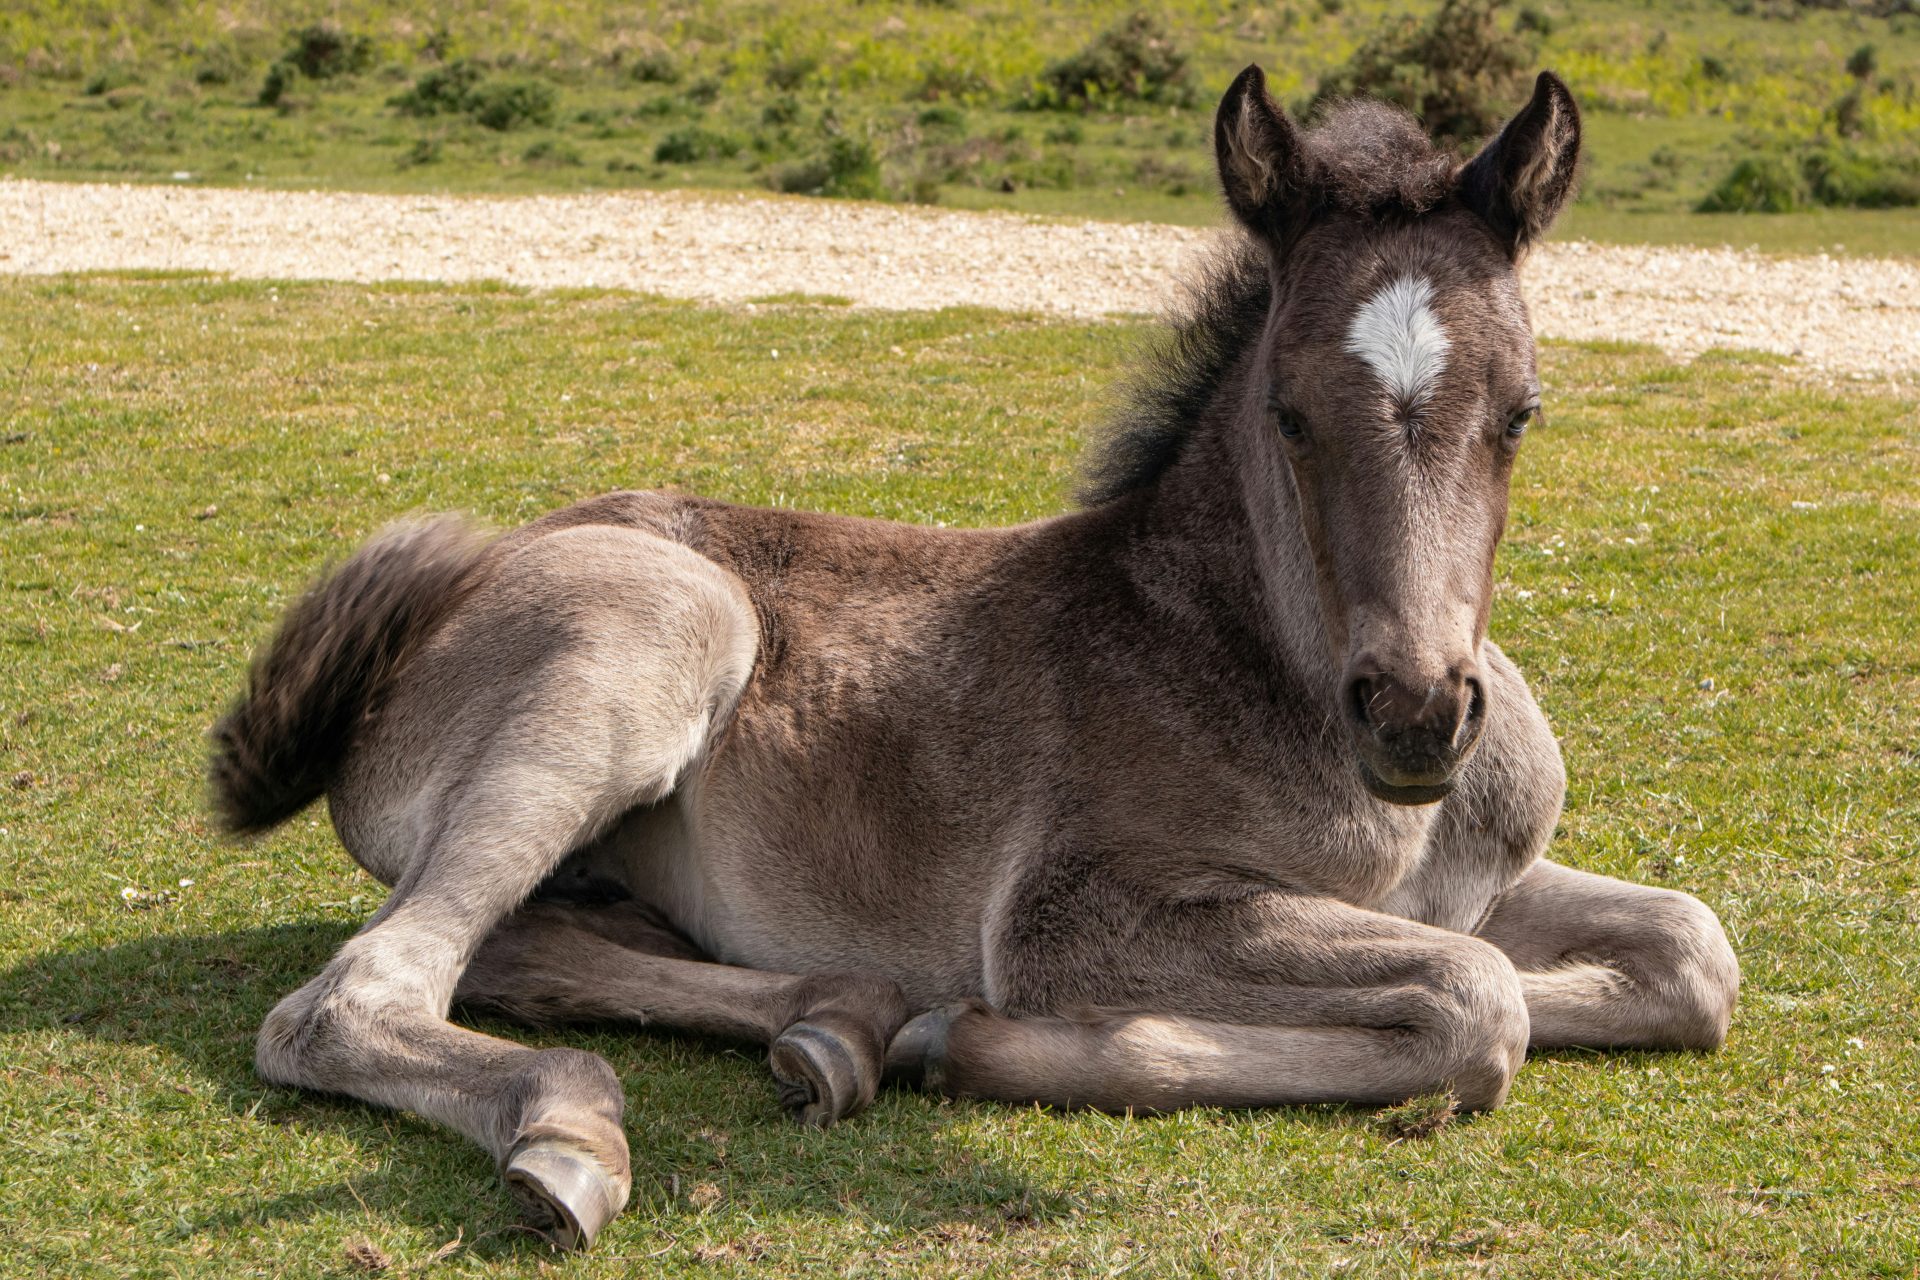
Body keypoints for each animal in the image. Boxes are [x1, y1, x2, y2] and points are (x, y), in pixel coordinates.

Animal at [210, 65, 1739, 1250]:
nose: (1416, 713)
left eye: (1523, 411)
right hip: (663, 629)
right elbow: (1479, 1006)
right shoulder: (1080, 912)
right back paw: (579, 1131)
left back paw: (842, 1028)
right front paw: (1020, 1044)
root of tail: (433, 615)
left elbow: (1690, 955)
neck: (1258, 661)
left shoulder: (1480, 880)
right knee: (355, 994)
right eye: (1292, 413)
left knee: (526, 946)